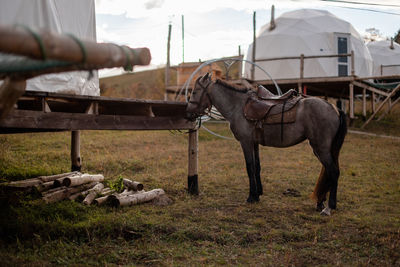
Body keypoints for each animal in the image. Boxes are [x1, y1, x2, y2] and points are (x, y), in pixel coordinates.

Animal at [186, 74, 346, 217]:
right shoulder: (254, 143)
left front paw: (251, 196)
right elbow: (257, 167)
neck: (237, 106)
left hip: (321, 148)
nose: (188, 113)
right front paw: (258, 195)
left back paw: (329, 207)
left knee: (333, 172)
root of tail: (334, 108)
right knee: (329, 172)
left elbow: (250, 167)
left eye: (194, 92)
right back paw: (320, 203)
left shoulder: (246, 142)